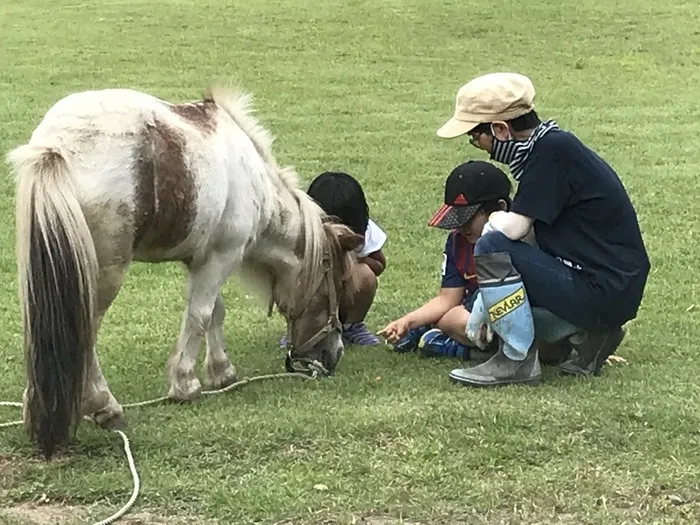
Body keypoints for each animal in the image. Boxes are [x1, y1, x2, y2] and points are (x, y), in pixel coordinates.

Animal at [5, 86, 364, 458]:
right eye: (340, 283)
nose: (333, 354)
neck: (252, 179)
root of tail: (55, 146)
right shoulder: (222, 256)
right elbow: (200, 316)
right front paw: (186, 384)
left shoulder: (204, 258)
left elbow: (216, 312)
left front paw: (221, 371)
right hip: (101, 275)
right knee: (85, 330)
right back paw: (105, 406)